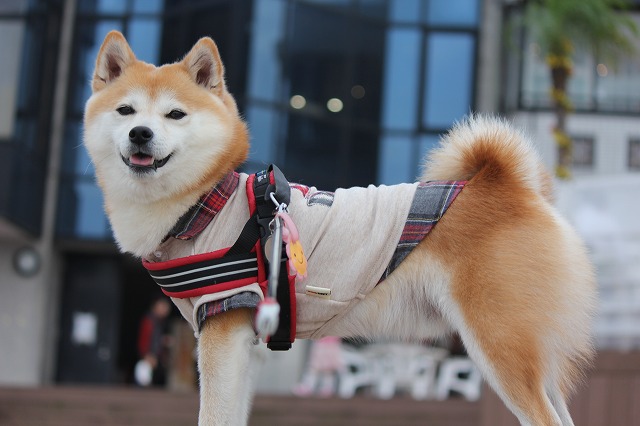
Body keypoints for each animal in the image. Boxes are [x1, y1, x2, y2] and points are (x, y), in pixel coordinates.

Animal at [84, 30, 596, 426]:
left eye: (175, 114)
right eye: (126, 111)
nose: (141, 134)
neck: (205, 203)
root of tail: (508, 184)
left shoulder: (223, 327)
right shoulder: (244, 339)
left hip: (500, 345)